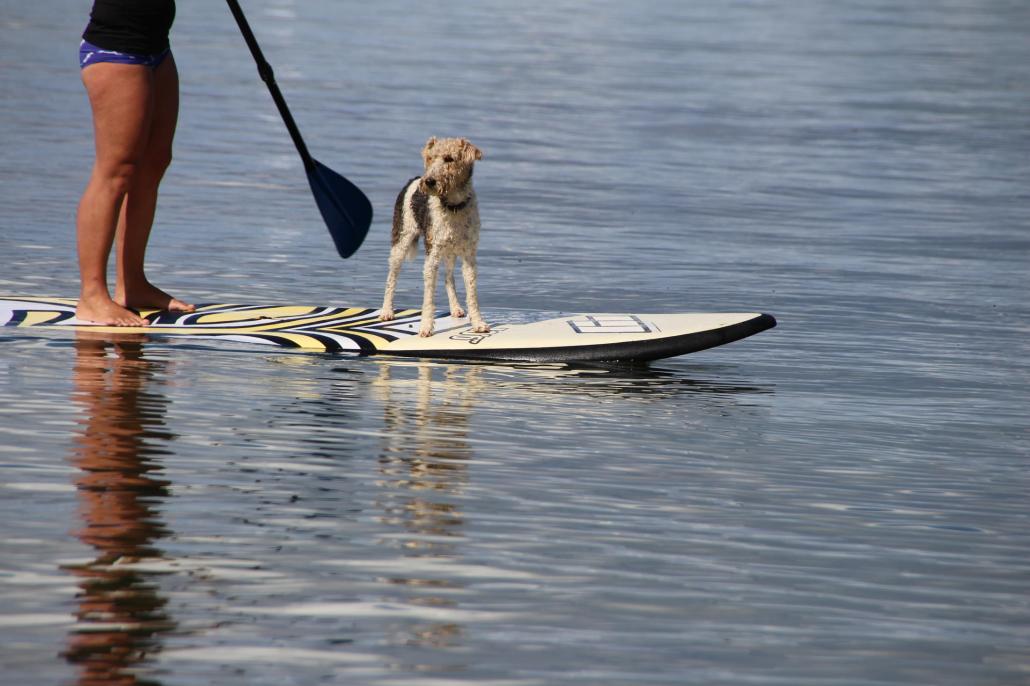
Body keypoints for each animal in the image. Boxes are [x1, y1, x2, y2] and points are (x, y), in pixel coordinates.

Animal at [381, 134, 488, 335]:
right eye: (431, 158)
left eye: (449, 158)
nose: (429, 181)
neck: (453, 206)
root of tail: (413, 180)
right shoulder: (433, 254)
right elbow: (428, 297)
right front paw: (425, 327)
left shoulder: (469, 255)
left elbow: (472, 293)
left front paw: (478, 324)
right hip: (402, 239)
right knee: (392, 278)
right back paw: (386, 312)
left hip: (450, 251)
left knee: (448, 277)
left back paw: (455, 308)